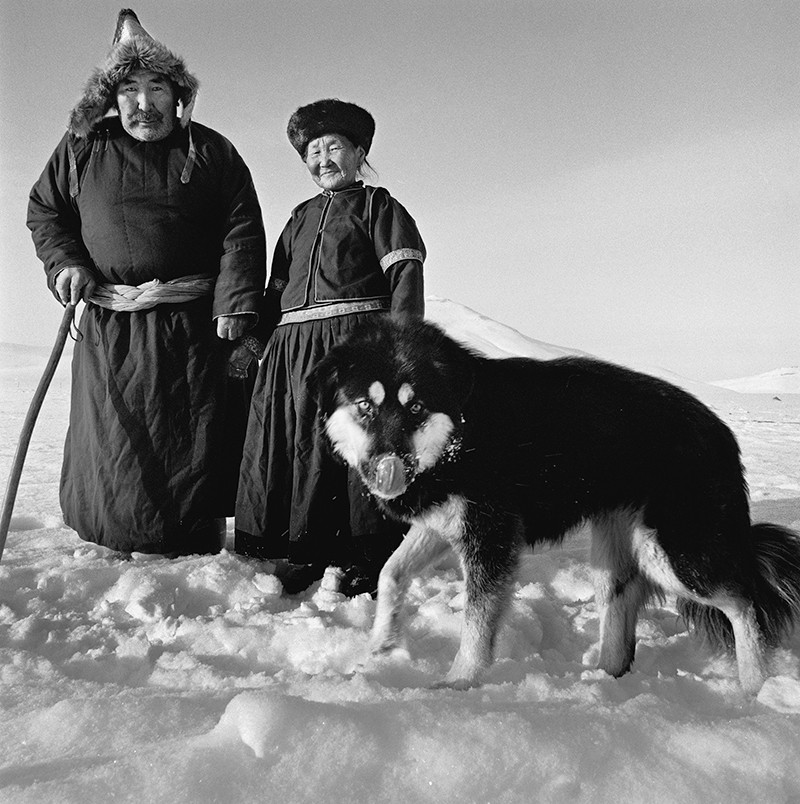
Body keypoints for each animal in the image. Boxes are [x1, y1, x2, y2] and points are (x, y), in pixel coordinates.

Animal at [308, 316, 800, 692]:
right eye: (364, 406)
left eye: (416, 408)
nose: (389, 464)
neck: (465, 429)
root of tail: (720, 432)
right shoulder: (443, 523)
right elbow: (390, 573)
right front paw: (381, 643)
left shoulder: (489, 535)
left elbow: (477, 622)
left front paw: (458, 683)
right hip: (615, 551)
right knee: (623, 608)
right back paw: (599, 680)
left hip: (674, 550)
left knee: (745, 601)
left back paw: (756, 687)